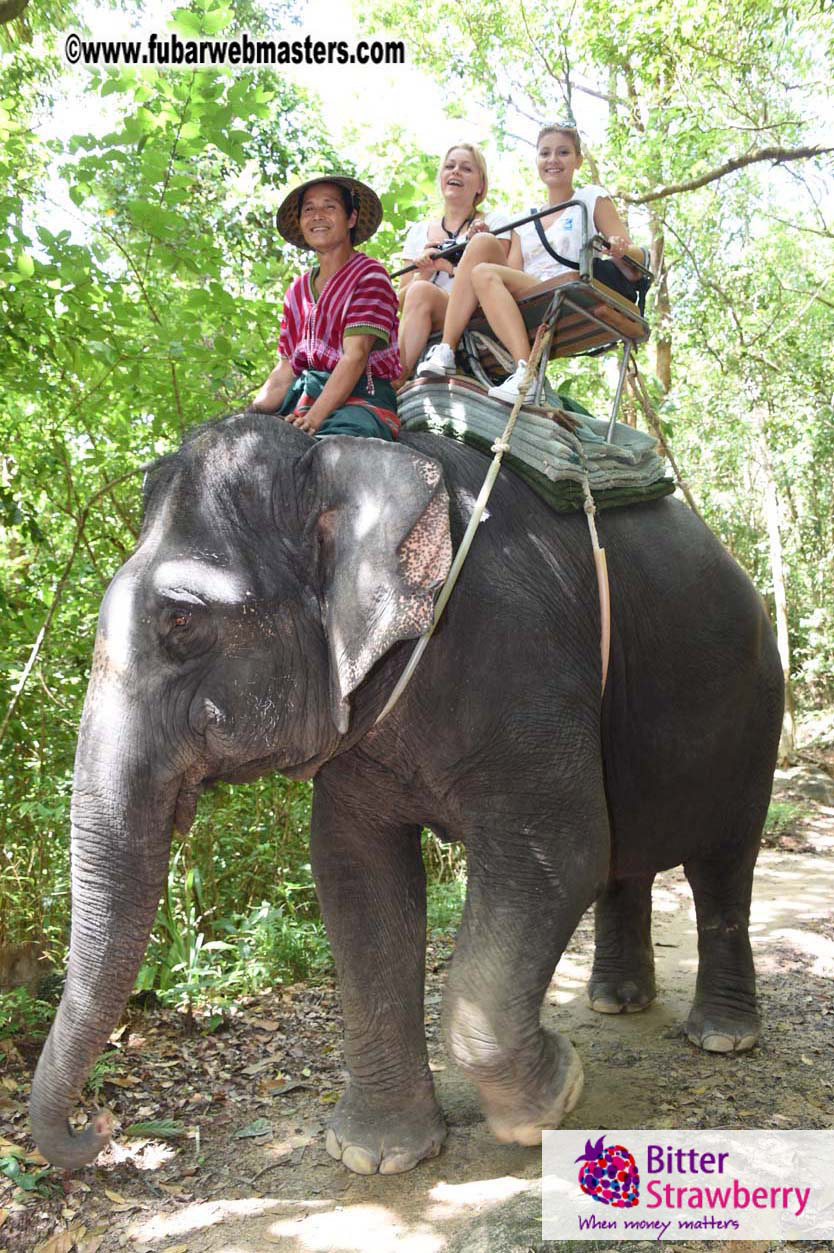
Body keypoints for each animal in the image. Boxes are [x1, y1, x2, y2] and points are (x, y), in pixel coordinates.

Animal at [30, 412, 784, 1175]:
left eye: (182, 623)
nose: (100, 1124)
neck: (355, 459)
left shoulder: (523, 657)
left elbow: (560, 851)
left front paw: (553, 1099)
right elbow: (354, 873)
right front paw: (378, 1154)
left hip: (757, 710)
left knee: (723, 862)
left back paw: (722, 1035)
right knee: (626, 858)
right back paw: (616, 1001)